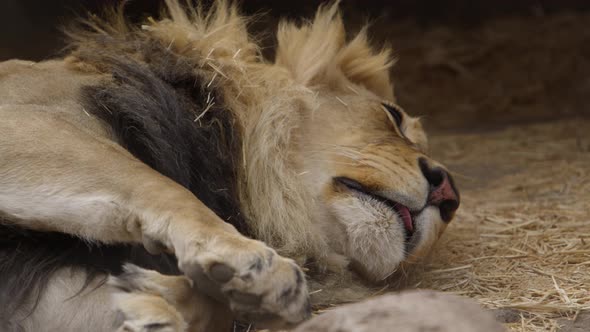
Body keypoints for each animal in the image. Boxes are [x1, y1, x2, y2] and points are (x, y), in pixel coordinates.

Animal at [0, 1, 462, 330]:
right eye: (393, 116)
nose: (449, 193)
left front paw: (160, 301)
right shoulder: (21, 119)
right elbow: (157, 184)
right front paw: (255, 266)